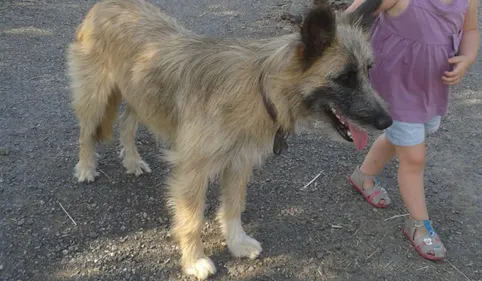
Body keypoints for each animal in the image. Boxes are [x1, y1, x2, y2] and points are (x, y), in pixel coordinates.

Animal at [68, 0, 390, 278]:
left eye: (368, 70)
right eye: (344, 78)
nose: (387, 121)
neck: (260, 89)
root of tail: (105, 4)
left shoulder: (239, 161)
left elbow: (234, 205)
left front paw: (236, 242)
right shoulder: (192, 172)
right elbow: (192, 220)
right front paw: (194, 260)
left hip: (140, 95)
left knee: (126, 123)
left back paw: (133, 160)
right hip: (95, 95)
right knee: (85, 132)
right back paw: (85, 167)